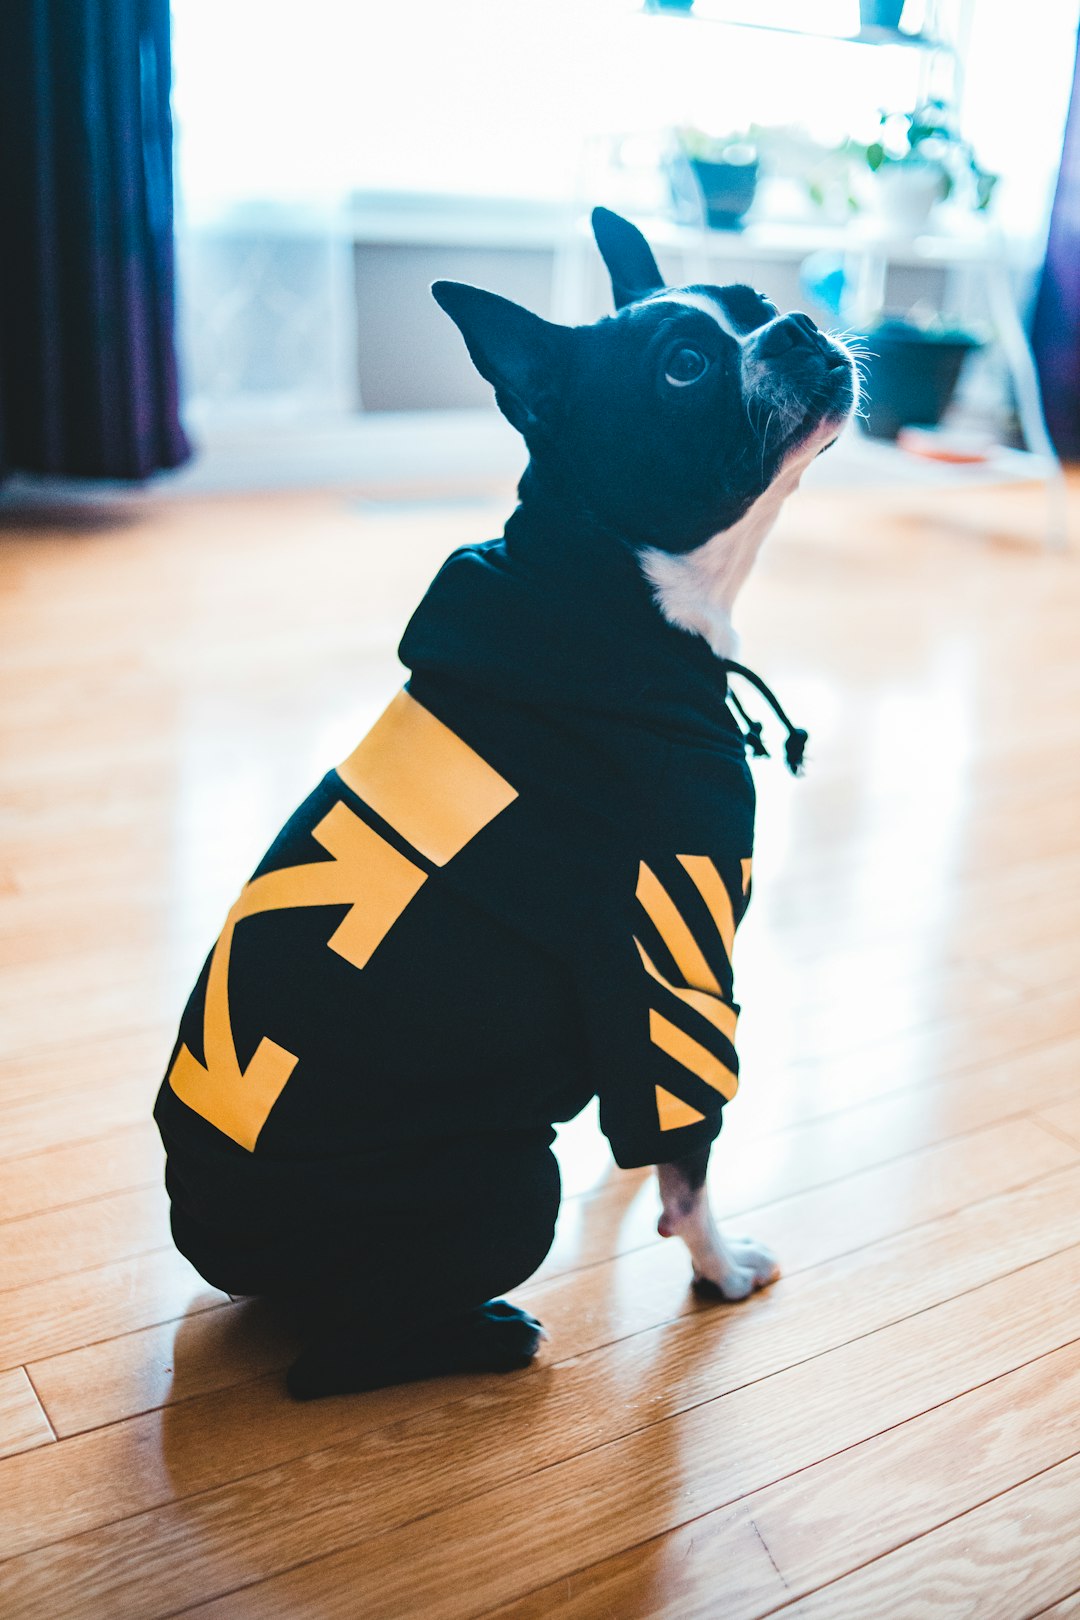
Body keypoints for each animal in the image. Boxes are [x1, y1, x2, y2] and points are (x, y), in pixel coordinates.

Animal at [153, 208, 861, 1399]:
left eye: (755, 306)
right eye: (684, 366)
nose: (802, 324)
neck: (614, 588)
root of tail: (197, 1222)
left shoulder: (653, 1009)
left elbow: (663, 1120)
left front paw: (644, 1195)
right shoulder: (676, 943)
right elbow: (690, 1149)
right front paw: (716, 1265)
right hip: (512, 1182)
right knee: (330, 1359)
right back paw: (490, 1335)